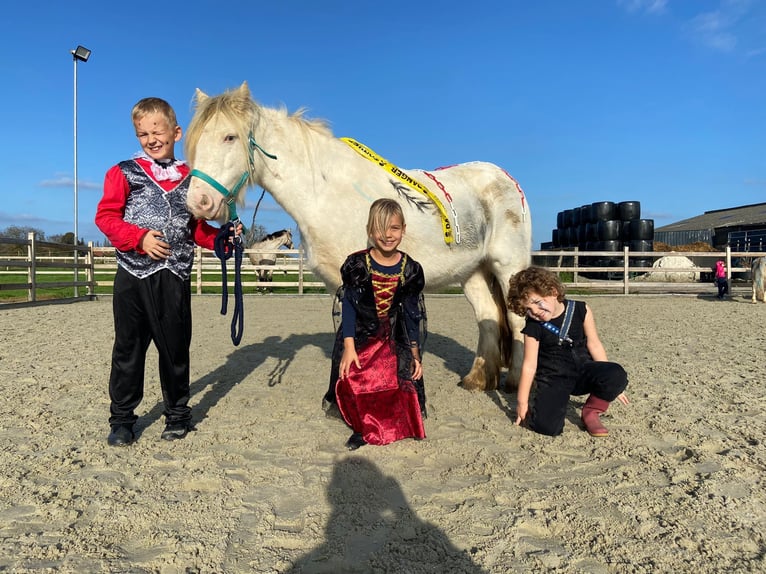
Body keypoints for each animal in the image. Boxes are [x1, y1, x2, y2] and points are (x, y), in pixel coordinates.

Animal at [186, 81, 536, 392]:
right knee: (488, 317)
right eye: (196, 142)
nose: (198, 202)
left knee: (518, 321)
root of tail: (508, 180)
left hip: (508, 266)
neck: (324, 191)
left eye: (230, 136)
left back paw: (515, 384)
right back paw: (476, 380)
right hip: (472, 271)